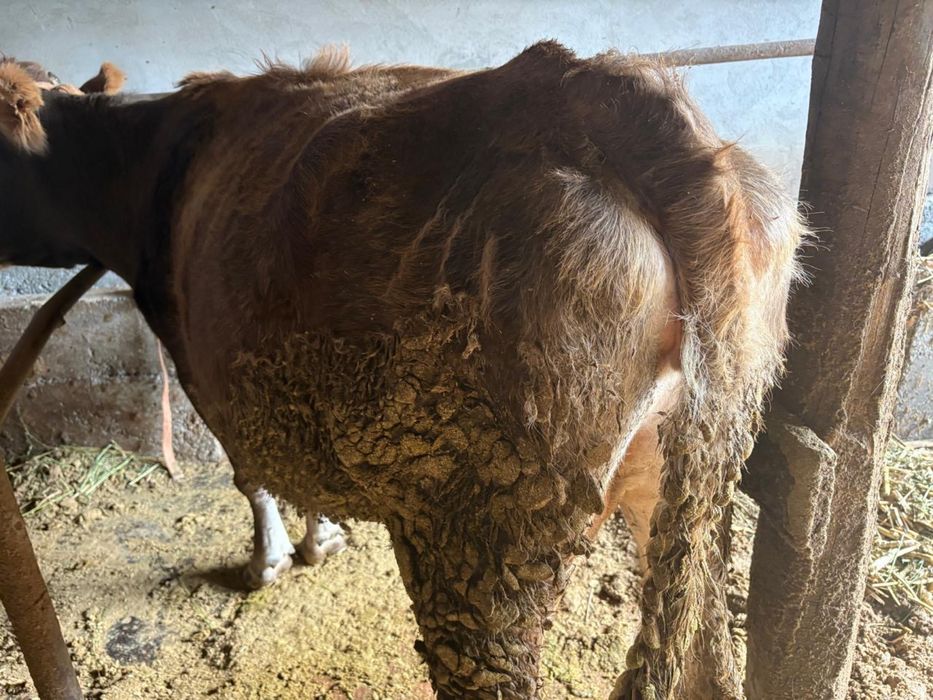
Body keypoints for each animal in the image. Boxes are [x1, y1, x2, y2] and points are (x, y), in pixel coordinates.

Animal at [0, 43, 805, 699]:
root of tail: (601, 95)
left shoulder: (198, 355)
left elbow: (249, 472)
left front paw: (271, 561)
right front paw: (321, 538)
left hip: (477, 536)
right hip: (686, 481)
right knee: (707, 658)